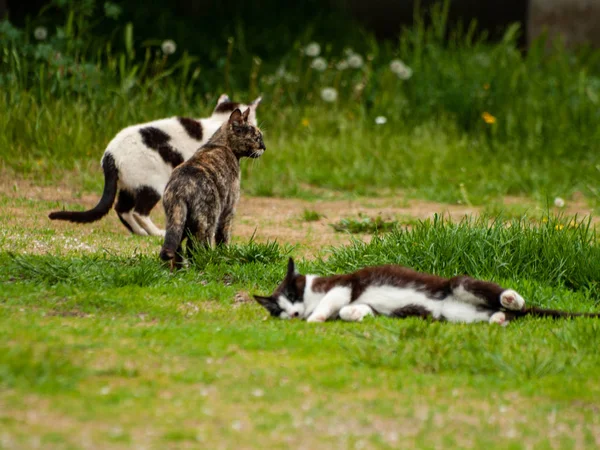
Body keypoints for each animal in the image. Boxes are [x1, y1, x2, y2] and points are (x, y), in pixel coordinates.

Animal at [48, 93, 260, 237]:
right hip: (153, 184)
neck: (218, 122)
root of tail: (109, 155)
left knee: (122, 209)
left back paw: (140, 233)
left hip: (129, 186)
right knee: (138, 211)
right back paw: (156, 232)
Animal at [159, 107, 264, 268]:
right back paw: (205, 263)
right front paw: (225, 256)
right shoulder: (228, 211)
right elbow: (224, 238)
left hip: (178, 221)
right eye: (257, 138)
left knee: (177, 247)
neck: (220, 144)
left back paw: (180, 269)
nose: (264, 147)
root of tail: (180, 188)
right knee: (195, 247)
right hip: (208, 221)